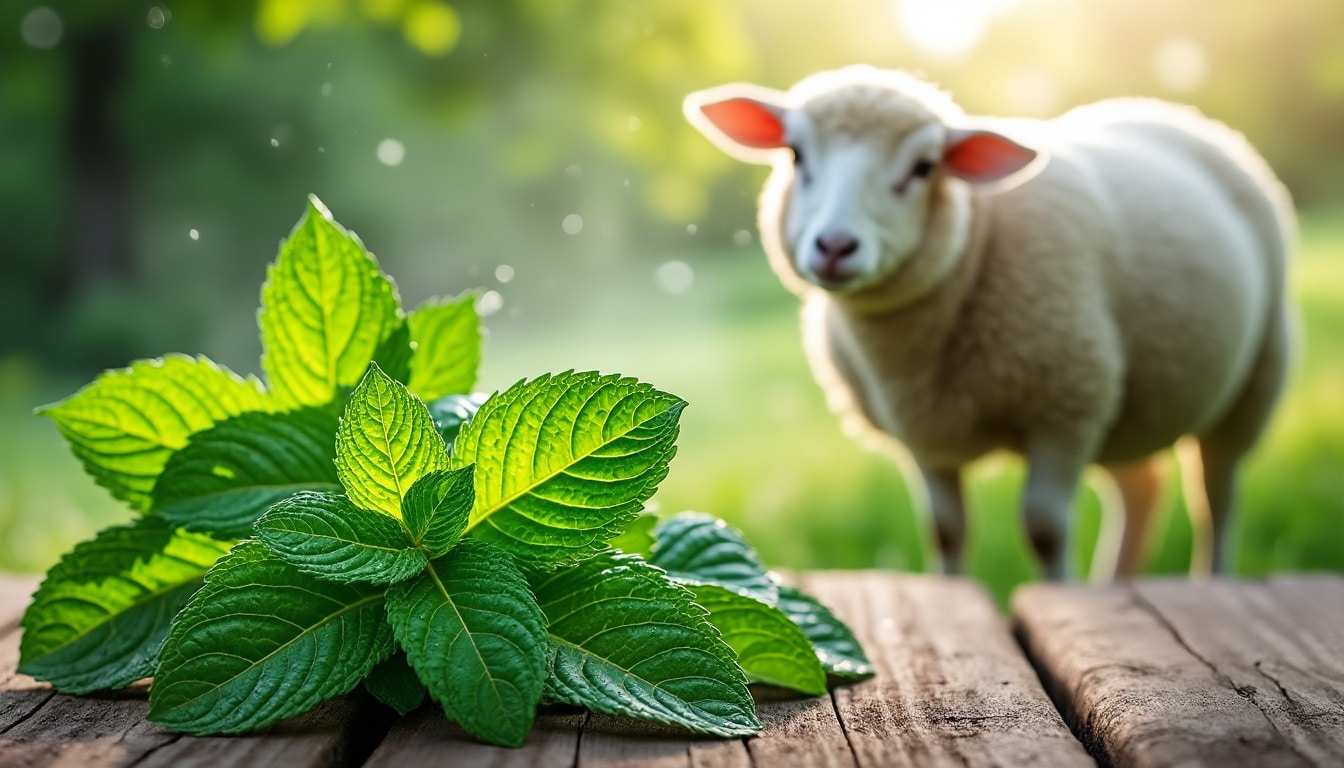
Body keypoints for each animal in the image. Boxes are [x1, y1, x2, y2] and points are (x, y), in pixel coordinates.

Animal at [684, 65, 1294, 580]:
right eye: (794, 154)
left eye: (924, 168)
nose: (835, 246)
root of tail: (1168, 111)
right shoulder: (925, 435)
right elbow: (945, 531)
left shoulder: (1067, 404)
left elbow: (1045, 530)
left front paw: (1061, 593)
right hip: (1132, 407)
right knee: (1142, 487)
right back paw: (1116, 582)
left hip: (1255, 377)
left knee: (1216, 494)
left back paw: (1210, 577)